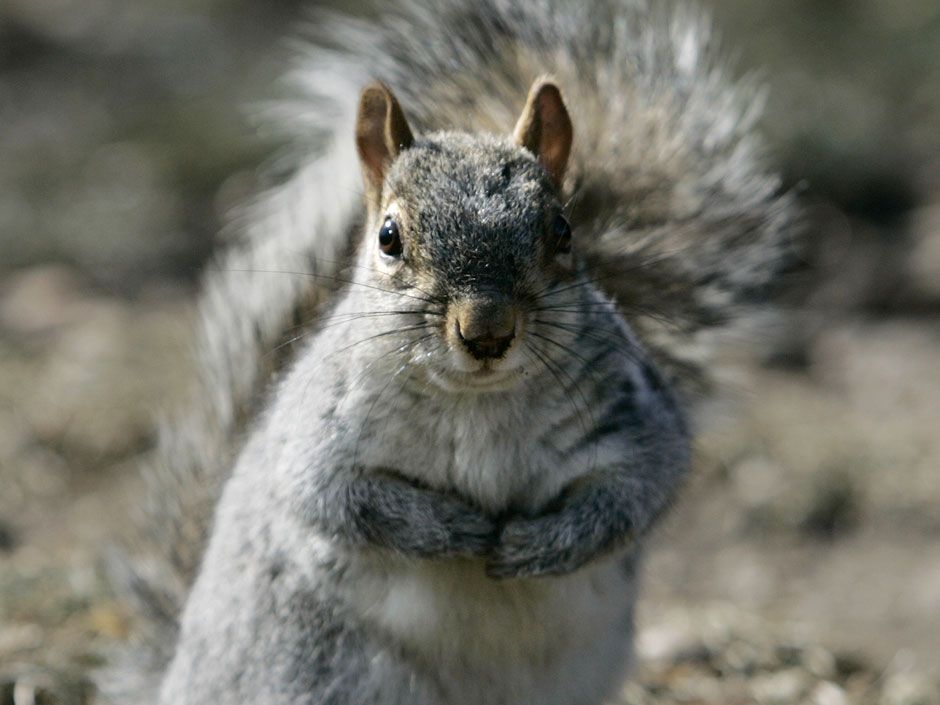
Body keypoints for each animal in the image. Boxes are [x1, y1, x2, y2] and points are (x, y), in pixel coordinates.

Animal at [97, 0, 793, 703]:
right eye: (388, 237)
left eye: (562, 231)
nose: (487, 331)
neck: (477, 400)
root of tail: (177, 677)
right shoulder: (319, 437)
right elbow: (340, 501)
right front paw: (455, 529)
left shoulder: (635, 416)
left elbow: (636, 493)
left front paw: (538, 545)